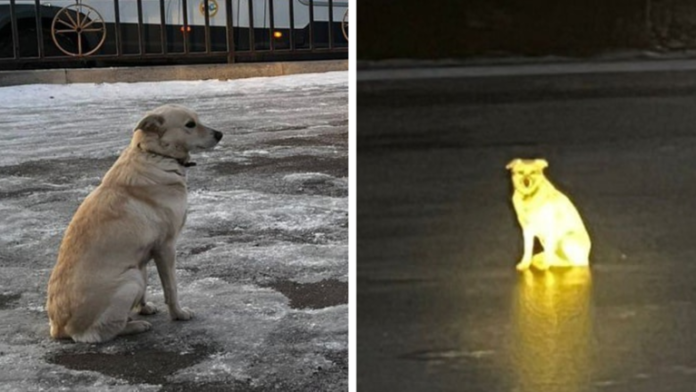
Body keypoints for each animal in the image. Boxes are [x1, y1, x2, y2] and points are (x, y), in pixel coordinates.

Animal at [47, 104, 220, 344]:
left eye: (198, 120)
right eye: (190, 124)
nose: (220, 134)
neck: (155, 155)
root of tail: (59, 328)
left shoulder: (144, 254)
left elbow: (149, 287)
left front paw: (144, 308)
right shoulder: (166, 247)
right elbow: (171, 288)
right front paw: (178, 314)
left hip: (135, 273)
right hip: (131, 279)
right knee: (99, 332)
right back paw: (135, 326)